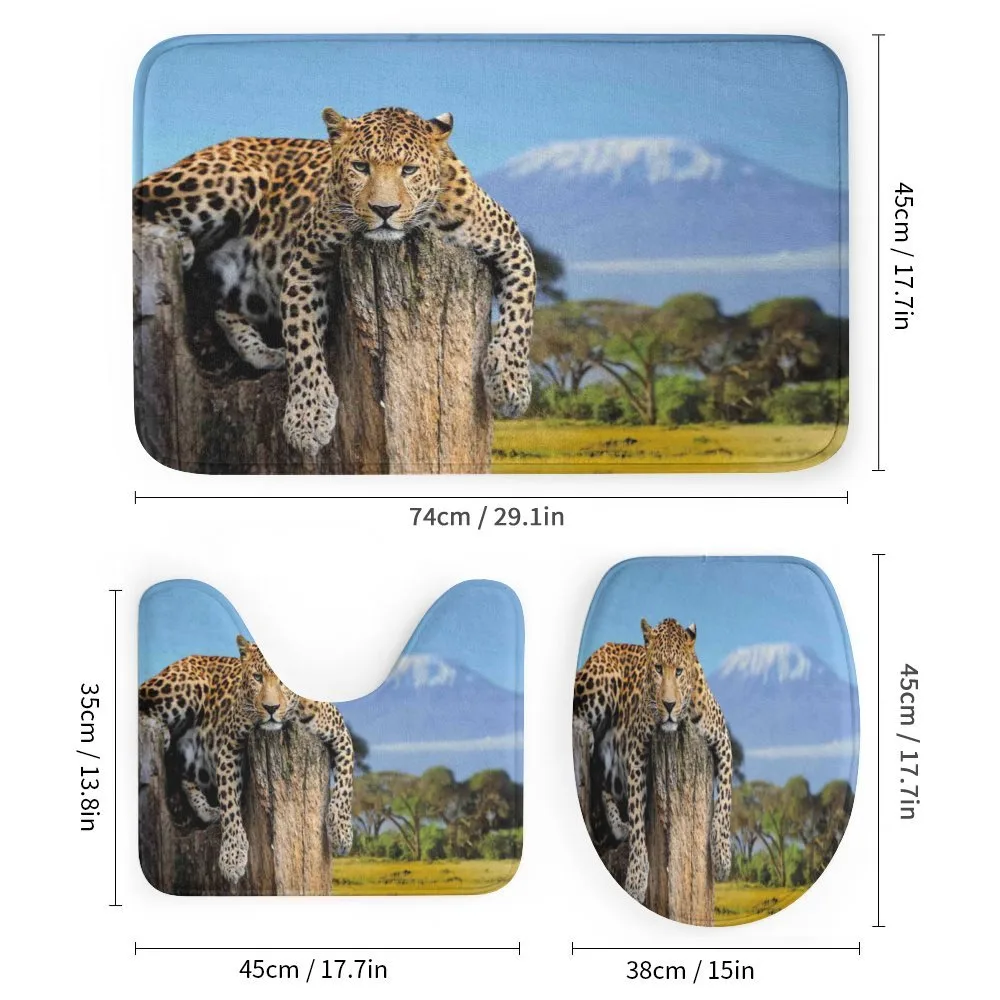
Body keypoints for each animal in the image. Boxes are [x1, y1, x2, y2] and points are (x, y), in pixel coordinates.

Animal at [133, 106, 537, 456]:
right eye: (361, 167)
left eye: (408, 170)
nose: (385, 210)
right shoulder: (304, 259)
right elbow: (303, 341)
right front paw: (308, 419)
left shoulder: (514, 245)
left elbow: (520, 316)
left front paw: (510, 385)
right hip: (231, 179)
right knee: (140, 203)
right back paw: (174, 242)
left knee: (222, 307)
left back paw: (265, 352)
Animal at [138, 634, 354, 883]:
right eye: (257, 677)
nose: (271, 708)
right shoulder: (228, 747)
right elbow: (230, 803)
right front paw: (233, 857)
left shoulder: (341, 735)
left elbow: (345, 785)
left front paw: (341, 832)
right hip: (184, 687)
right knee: (142, 704)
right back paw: (157, 728)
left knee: (182, 772)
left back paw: (208, 811)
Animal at [573, 618, 732, 904]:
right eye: (658, 669)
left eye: (679, 671)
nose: (668, 705)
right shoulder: (635, 752)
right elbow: (638, 816)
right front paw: (636, 878)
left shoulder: (723, 740)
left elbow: (725, 799)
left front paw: (723, 856)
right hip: (601, 689)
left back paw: (618, 826)